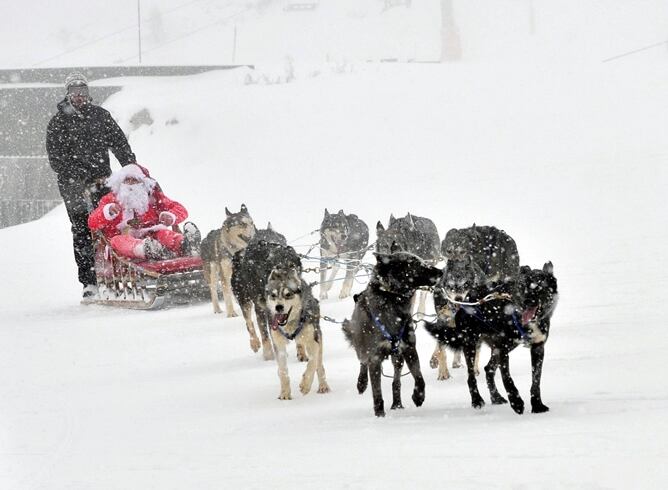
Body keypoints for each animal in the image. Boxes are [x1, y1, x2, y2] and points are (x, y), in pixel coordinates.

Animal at [230, 225, 302, 360]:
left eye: (293, 266)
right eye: (276, 268)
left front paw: (301, 352)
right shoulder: (262, 308)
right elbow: (265, 333)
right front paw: (269, 355)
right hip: (244, 300)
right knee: (249, 323)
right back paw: (255, 343)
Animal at [264, 266, 330, 400]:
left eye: (288, 294)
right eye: (273, 295)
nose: (278, 307)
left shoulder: (313, 341)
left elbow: (312, 363)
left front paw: (305, 385)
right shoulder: (278, 345)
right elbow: (283, 371)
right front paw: (285, 393)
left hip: (317, 335)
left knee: (319, 364)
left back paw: (323, 385)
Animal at [344, 253, 444, 418]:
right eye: (414, 263)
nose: (440, 271)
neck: (392, 298)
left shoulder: (409, 349)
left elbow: (419, 378)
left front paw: (418, 396)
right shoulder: (374, 358)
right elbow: (377, 392)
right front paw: (379, 414)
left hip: (398, 358)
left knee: (396, 381)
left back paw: (397, 403)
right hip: (362, 349)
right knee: (362, 363)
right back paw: (362, 383)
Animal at [422, 260, 560, 414]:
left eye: (539, 287)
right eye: (523, 286)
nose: (527, 301)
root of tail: (465, 300)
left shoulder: (537, 348)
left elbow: (536, 380)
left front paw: (537, 405)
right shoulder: (503, 348)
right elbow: (507, 378)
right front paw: (516, 402)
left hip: (500, 347)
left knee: (488, 369)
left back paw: (495, 397)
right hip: (472, 344)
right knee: (471, 376)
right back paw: (476, 400)